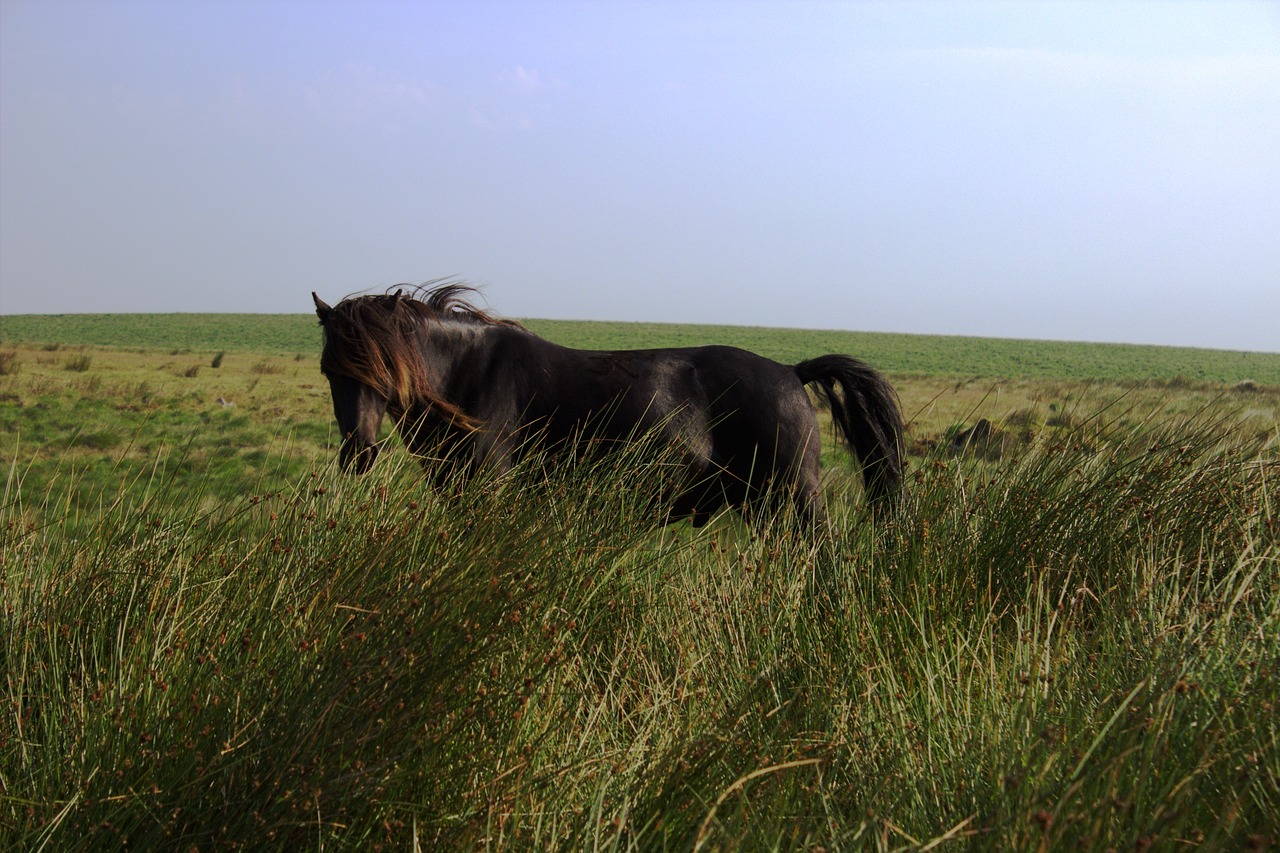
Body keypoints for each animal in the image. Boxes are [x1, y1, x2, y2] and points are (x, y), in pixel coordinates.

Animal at [314, 284, 906, 525]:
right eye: (329, 372)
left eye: (383, 372)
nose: (359, 452)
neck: (470, 376)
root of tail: (790, 372)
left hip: (795, 501)